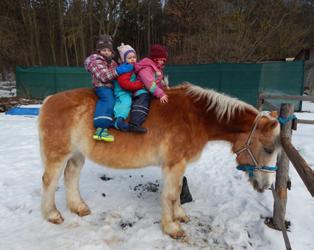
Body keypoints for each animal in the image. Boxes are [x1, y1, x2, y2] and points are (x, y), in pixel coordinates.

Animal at [38, 82, 280, 238]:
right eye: (268, 149)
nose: (266, 184)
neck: (197, 117)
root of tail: (48, 101)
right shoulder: (174, 164)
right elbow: (171, 195)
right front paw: (172, 228)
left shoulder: (178, 165)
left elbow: (177, 193)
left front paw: (179, 216)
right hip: (58, 155)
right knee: (50, 181)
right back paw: (52, 214)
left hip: (77, 155)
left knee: (71, 177)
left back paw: (78, 207)